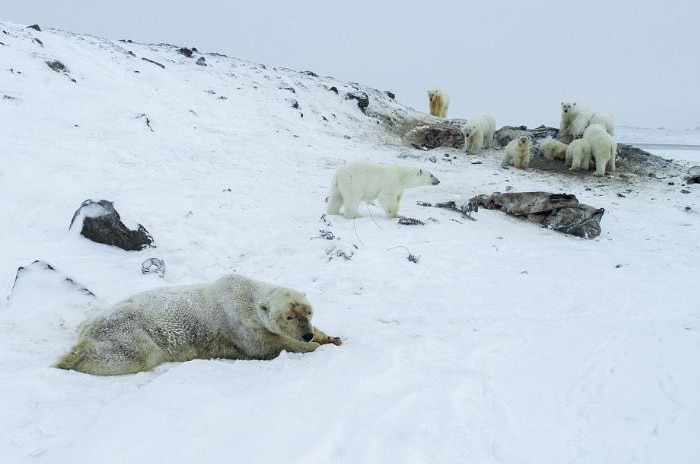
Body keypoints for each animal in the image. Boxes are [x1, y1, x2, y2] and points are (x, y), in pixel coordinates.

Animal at [55, 274, 342, 376]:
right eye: (289, 317)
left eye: (309, 312)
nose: (306, 335)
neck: (246, 295)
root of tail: (87, 329)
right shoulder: (240, 324)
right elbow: (268, 346)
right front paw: (313, 347)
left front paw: (330, 337)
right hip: (129, 332)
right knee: (130, 355)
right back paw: (70, 358)